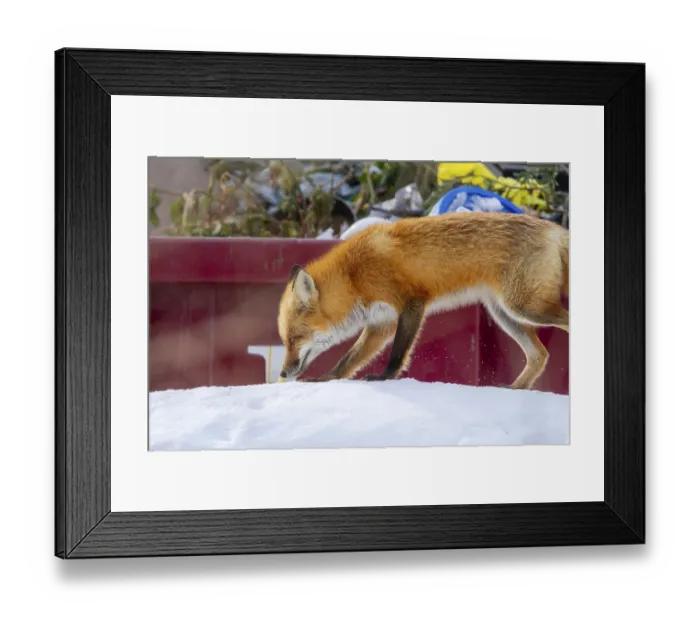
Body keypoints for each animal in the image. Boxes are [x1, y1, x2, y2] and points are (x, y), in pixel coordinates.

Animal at [277, 211, 569, 390]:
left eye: (294, 338)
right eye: (284, 341)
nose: (282, 374)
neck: (353, 277)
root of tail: (555, 229)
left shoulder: (411, 303)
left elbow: (397, 353)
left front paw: (384, 378)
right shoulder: (380, 322)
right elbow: (348, 360)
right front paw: (324, 380)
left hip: (525, 308)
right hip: (504, 313)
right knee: (539, 355)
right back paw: (515, 389)